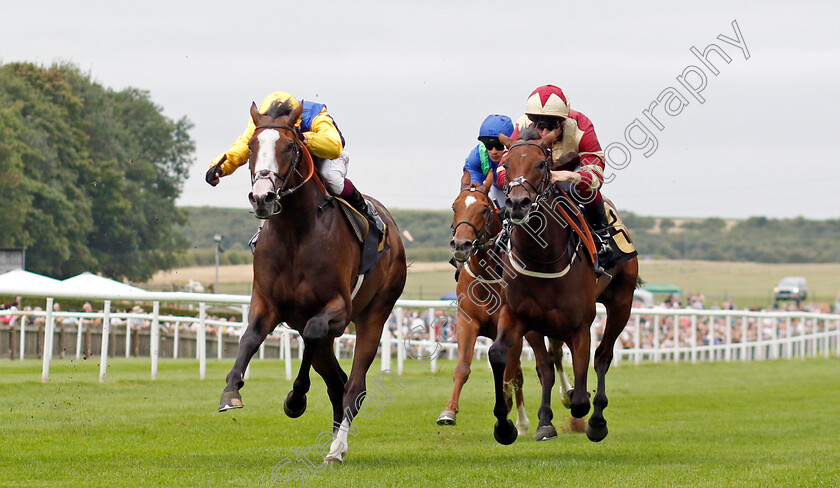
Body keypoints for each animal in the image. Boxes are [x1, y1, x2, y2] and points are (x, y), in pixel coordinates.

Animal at [220, 99, 406, 466]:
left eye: (290, 146)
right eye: (251, 147)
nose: (262, 197)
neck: (296, 232)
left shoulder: (337, 307)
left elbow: (312, 332)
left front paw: (295, 398)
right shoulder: (267, 303)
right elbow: (249, 338)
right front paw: (231, 390)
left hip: (375, 313)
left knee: (354, 386)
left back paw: (335, 449)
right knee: (337, 382)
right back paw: (337, 443)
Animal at [436, 170, 576, 440]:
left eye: (483, 209)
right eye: (455, 207)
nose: (461, 245)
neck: (489, 274)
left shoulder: (517, 327)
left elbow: (513, 374)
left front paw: (514, 419)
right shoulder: (468, 322)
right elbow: (463, 368)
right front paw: (448, 412)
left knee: (549, 357)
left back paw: (564, 396)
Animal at [488, 127, 640, 444]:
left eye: (541, 164)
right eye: (506, 164)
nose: (517, 203)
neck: (543, 258)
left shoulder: (581, 325)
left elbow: (581, 392)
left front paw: (581, 407)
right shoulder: (518, 316)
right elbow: (501, 355)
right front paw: (508, 425)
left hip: (622, 302)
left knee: (603, 356)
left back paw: (596, 419)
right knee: (552, 364)